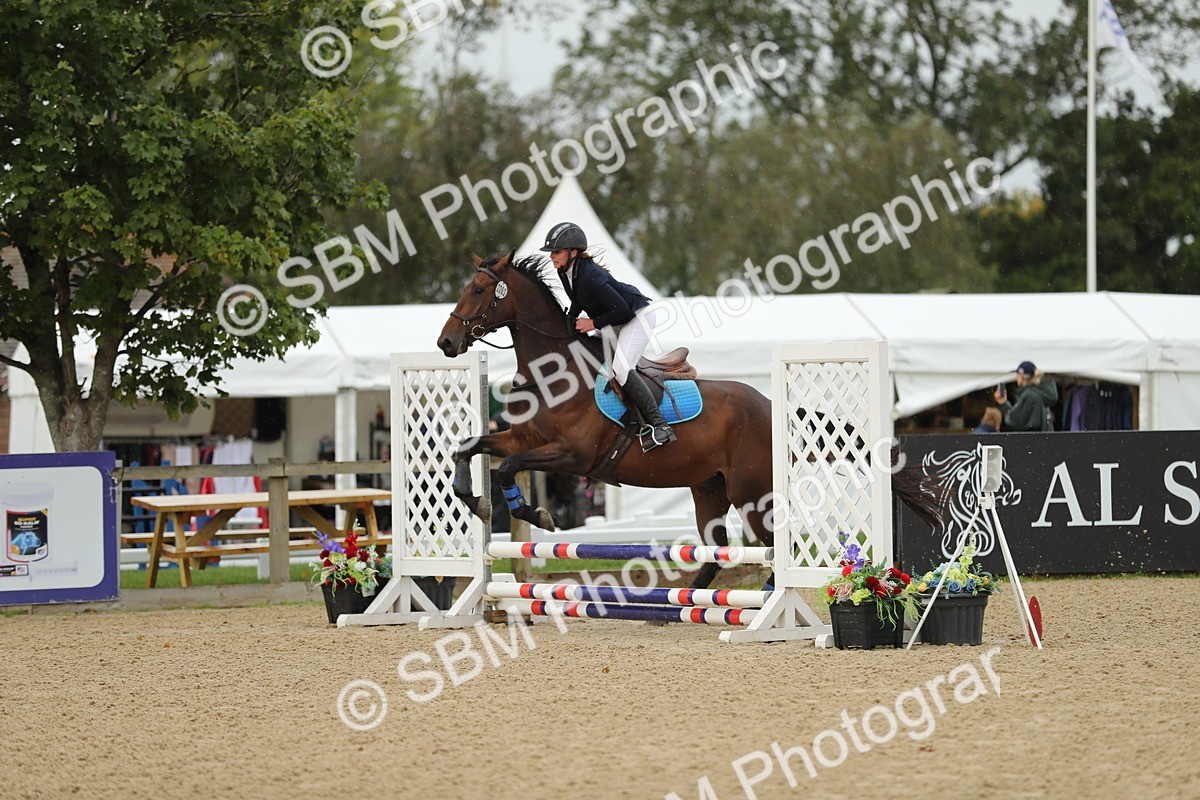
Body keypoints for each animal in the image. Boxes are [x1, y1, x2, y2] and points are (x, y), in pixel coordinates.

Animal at [437, 251, 942, 590]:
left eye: (478, 290)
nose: (445, 343)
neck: (553, 371)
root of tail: (769, 404)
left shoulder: (573, 455)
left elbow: (507, 467)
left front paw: (532, 512)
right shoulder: (522, 437)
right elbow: (470, 447)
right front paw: (478, 501)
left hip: (750, 493)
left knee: (771, 546)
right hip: (709, 490)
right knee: (716, 552)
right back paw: (690, 602)